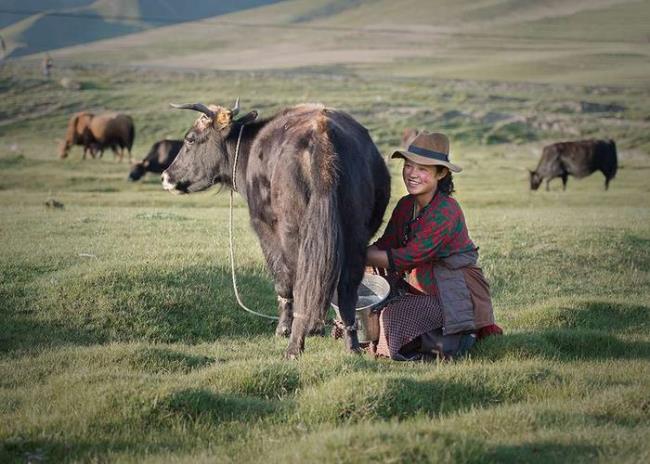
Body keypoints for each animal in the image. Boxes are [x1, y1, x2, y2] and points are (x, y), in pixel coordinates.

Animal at [162, 99, 390, 358]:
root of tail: (322, 133)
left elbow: (282, 281)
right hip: (355, 236)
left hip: (294, 235)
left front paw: (282, 329)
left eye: (190, 139)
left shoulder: (264, 229)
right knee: (347, 290)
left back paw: (293, 347)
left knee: (300, 282)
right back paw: (351, 345)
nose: (166, 177)